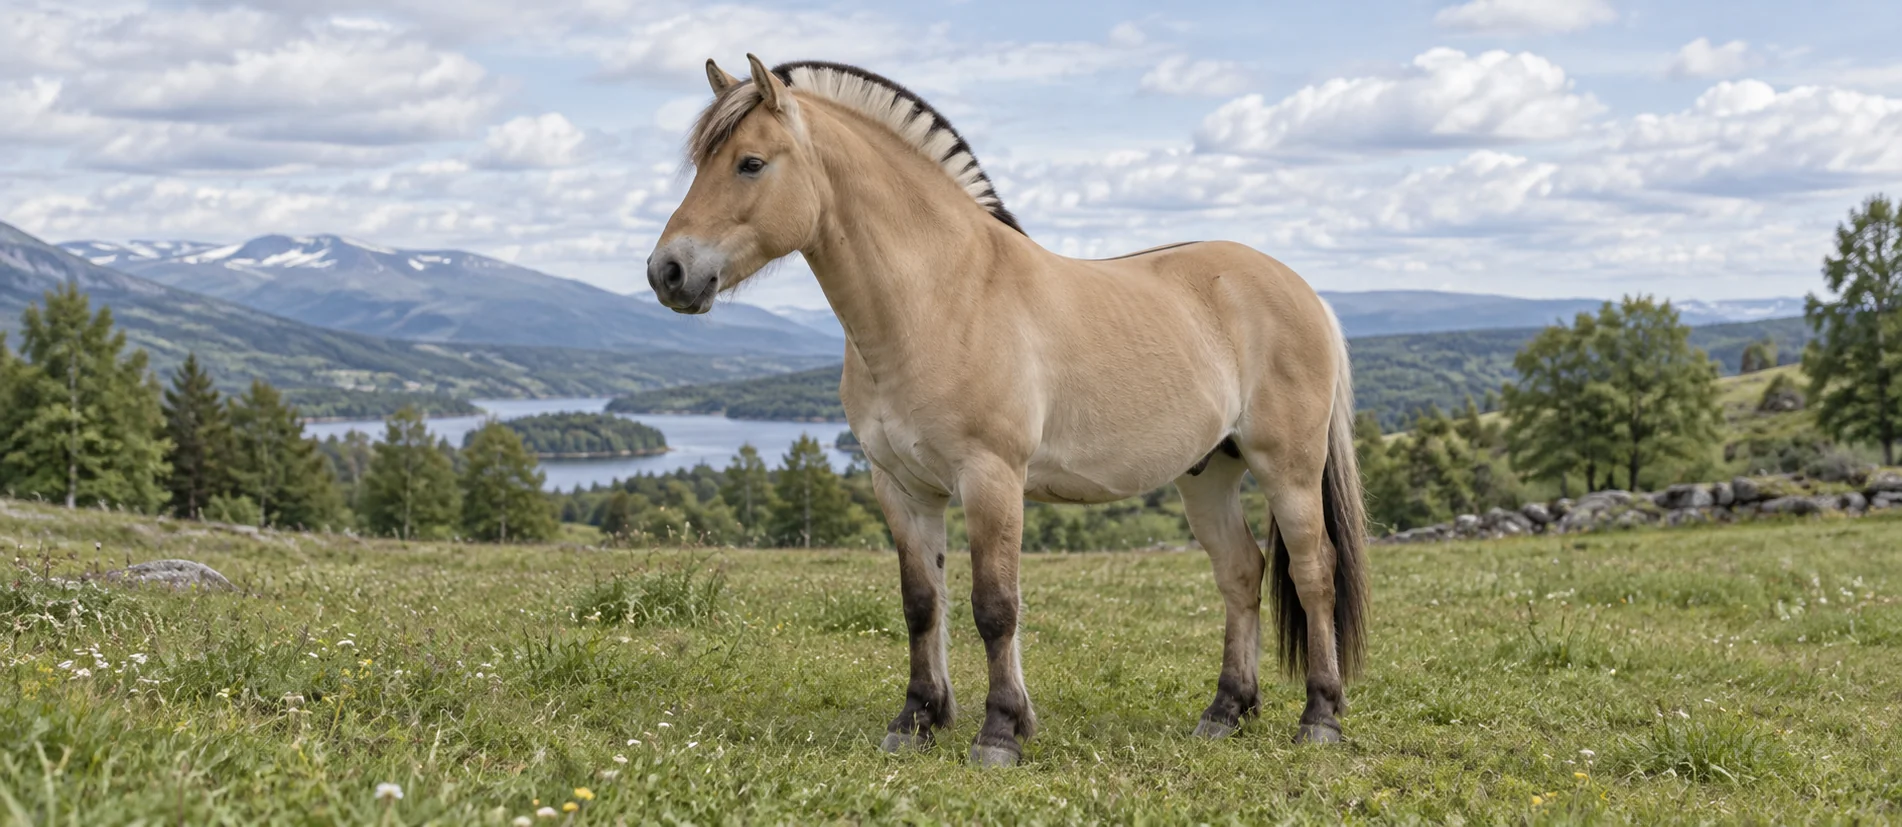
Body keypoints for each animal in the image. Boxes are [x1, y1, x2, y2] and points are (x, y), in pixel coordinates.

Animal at [646, 55, 1369, 767]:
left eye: (750, 163)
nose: (667, 272)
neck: (941, 297)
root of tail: (1302, 290)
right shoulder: (900, 485)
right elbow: (922, 602)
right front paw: (917, 719)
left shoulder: (991, 477)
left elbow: (994, 606)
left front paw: (998, 732)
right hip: (1208, 474)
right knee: (1241, 572)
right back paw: (1225, 711)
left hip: (1288, 469)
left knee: (1313, 572)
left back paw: (1320, 718)